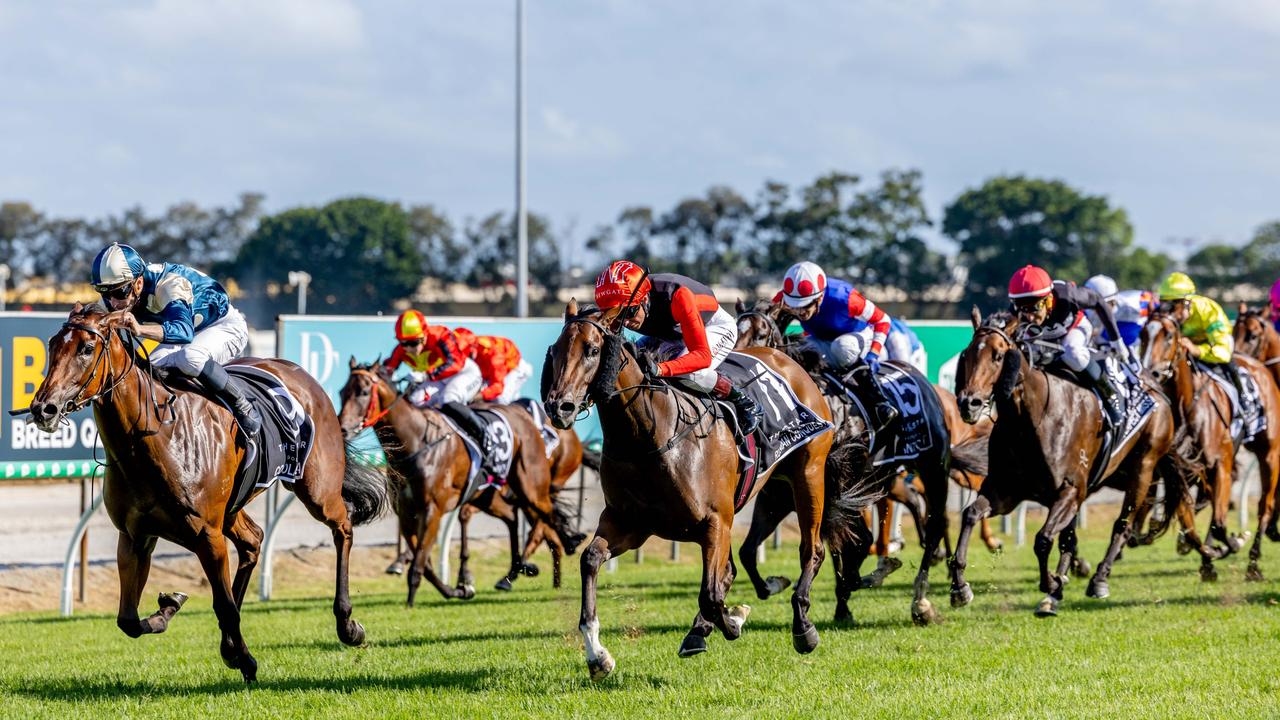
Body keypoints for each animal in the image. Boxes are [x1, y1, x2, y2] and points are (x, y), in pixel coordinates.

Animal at [24, 301, 384, 676]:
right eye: (52, 345)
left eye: (86, 348)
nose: (43, 408)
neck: (153, 436)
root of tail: (300, 374)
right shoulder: (136, 535)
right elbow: (128, 620)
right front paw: (170, 606)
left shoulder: (207, 535)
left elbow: (223, 606)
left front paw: (246, 660)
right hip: (233, 507)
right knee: (254, 540)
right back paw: (229, 643)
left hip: (317, 489)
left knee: (342, 527)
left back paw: (347, 625)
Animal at [337, 358, 583, 599]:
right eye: (342, 392)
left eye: (363, 392)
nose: (343, 428)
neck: (416, 441)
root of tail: (527, 420)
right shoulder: (407, 512)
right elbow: (424, 563)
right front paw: (456, 590)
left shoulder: (433, 510)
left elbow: (419, 562)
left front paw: (413, 600)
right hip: (487, 495)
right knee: (514, 517)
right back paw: (523, 569)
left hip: (530, 486)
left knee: (548, 513)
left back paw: (569, 542)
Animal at [542, 298, 855, 676]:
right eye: (557, 349)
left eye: (592, 349)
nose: (559, 407)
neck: (648, 435)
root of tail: (788, 361)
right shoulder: (630, 524)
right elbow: (590, 559)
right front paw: (598, 654)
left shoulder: (715, 523)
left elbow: (711, 594)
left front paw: (734, 619)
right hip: (771, 488)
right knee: (736, 566)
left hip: (808, 473)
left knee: (813, 549)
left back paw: (803, 627)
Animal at [952, 304, 1177, 614]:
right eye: (967, 355)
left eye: (998, 356)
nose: (968, 403)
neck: (1029, 420)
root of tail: (1155, 388)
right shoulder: (1006, 491)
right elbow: (971, 514)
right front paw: (960, 586)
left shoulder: (1070, 490)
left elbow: (1043, 539)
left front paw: (1051, 583)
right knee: (1070, 537)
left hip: (1142, 468)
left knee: (1122, 524)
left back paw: (1099, 579)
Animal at [1141, 308, 1280, 576]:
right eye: (1143, 334)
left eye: (1169, 335)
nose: (1148, 374)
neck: (1188, 407)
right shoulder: (1183, 470)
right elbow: (1192, 524)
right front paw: (1208, 554)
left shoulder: (1221, 465)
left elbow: (1218, 521)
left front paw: (1233, 543)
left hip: (1268, 453)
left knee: (1264, 505)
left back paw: (1254, 561)